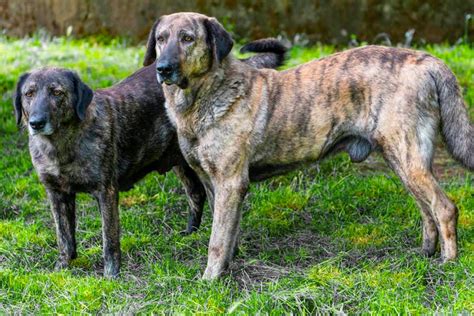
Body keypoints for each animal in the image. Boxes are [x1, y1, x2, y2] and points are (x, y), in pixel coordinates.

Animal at [13, 38, 288, 278]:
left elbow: (109, 240)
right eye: (29, 94)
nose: (36, 122)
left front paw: (111, 275)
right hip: (182, 164)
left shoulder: (106, 192)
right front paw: (63, 267)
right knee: (196, 194)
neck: (61, 145)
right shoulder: (56, 194)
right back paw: (190, 232)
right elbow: (65, 237)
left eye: (57, 93)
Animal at [145, 12, 474, 278]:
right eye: (161, 39)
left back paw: (448, 263)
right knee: (426, 209)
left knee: (444, 208)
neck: (207, 93)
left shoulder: (230, 182)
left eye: (188, 38)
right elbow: (227, 234)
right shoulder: (214, 185)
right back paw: (425, 254)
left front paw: (210, 280)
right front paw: (229, 265)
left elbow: (216, 241)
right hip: (403, 161)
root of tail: (428, 60)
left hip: (408, 159)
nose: (163, 68)